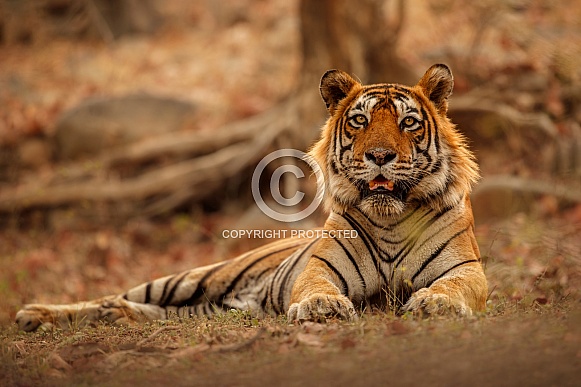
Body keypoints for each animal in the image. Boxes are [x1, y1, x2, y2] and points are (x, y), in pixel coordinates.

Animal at [14, 64, 484, 334]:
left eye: (408, 123)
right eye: (359, 121)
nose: (380, 156)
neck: (390, 220)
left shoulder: (467, 270)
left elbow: (454, 285)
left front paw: (437, 303)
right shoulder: (319, 267)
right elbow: (316, 285)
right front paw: (322, 306)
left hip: (211, 308)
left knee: (153, 311)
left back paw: (116, 317)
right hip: (190, 278)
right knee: (112, 296)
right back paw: (36, 314)